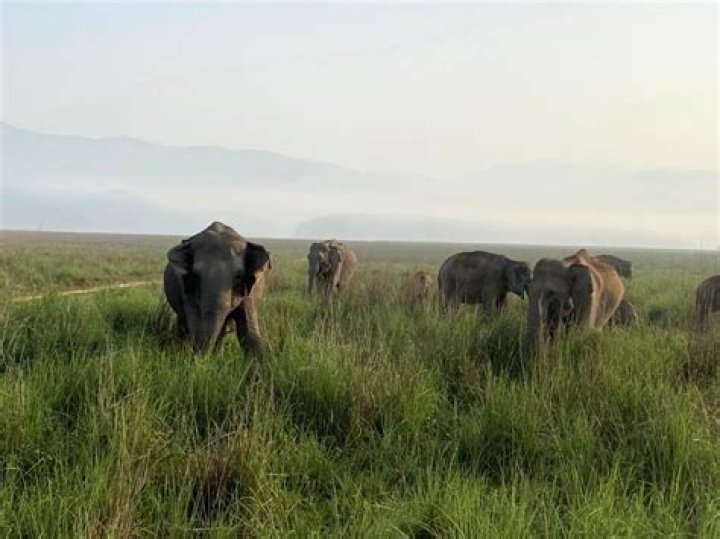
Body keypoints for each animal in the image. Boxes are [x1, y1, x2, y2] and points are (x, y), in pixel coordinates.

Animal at [163, 222, 271, 357]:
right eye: (196, 275)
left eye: (238, 276)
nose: (202, 359)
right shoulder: (186, 287)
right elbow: (194, 323)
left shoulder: (251, 289)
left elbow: (249, 333)